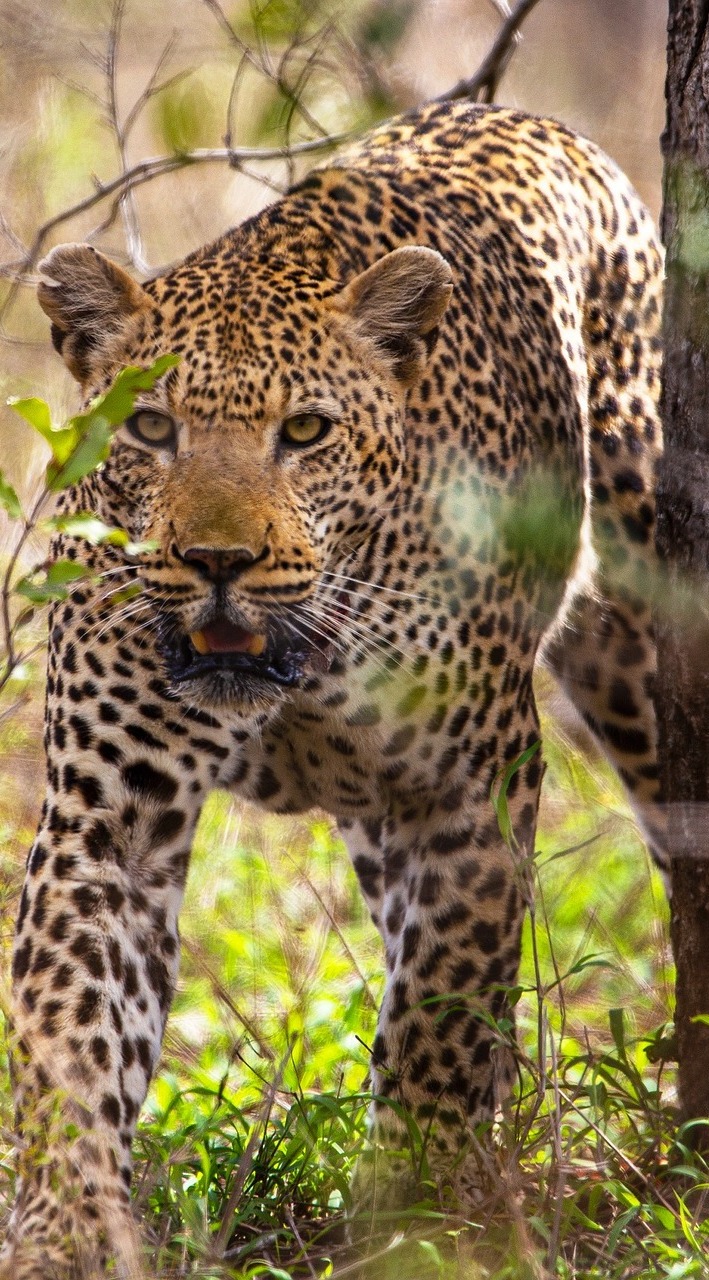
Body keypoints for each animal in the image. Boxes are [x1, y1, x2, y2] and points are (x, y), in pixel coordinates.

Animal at [1, 99, 660, 1280]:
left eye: (304, 432)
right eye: (151, 428)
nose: (218, 559)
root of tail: (515, 115)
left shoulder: (463, 795)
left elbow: (439, 1024)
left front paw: (418, 1225)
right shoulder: (108, 817)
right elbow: (68, 1024)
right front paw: (64, 1234)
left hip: (631, 630)